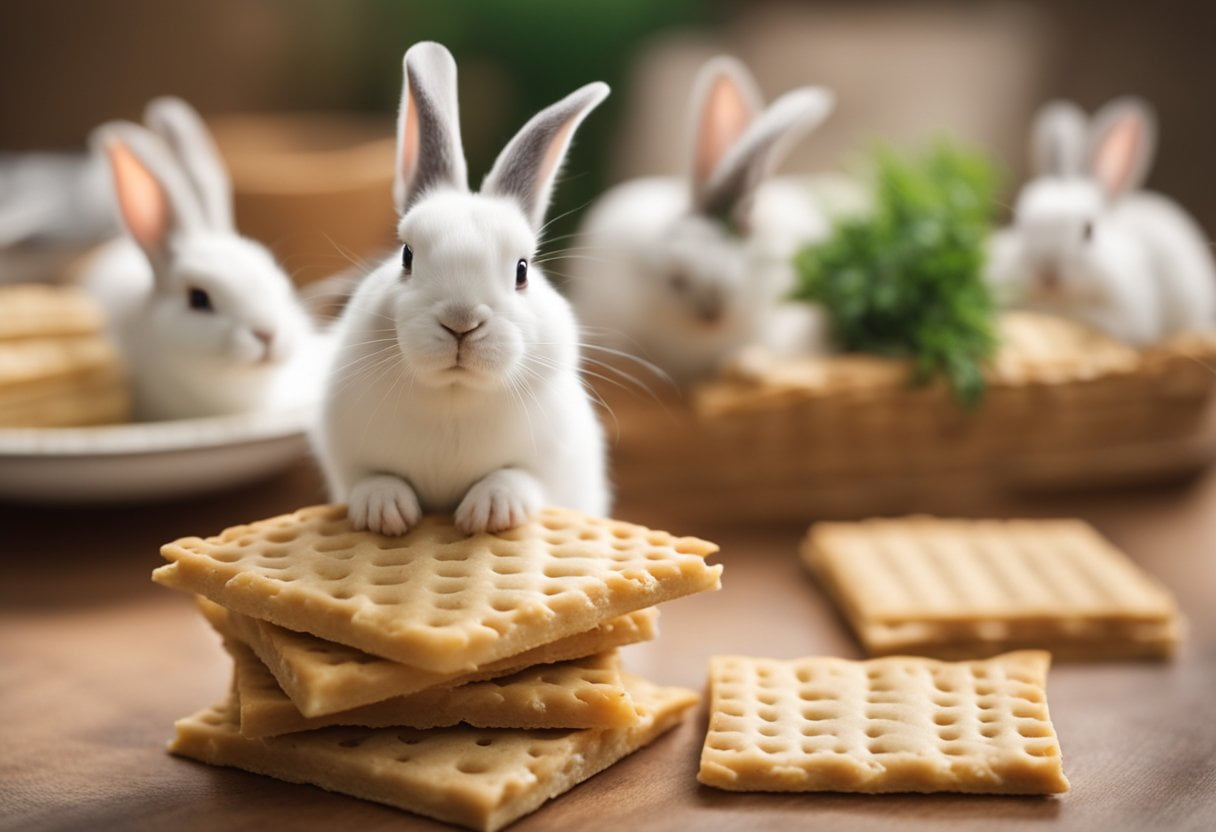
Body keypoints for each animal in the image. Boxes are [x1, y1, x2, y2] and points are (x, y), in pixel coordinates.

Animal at [313, 41, 610, 537]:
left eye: (522, 270)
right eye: (407, 256)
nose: (461, 321)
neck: (454, 396)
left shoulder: (552, 466)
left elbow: (518, 477)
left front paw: (489, 511)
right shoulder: (347, 458)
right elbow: (371, 478)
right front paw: (385, 511)